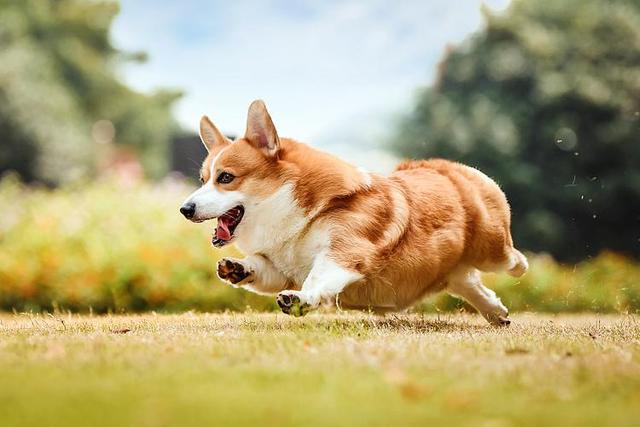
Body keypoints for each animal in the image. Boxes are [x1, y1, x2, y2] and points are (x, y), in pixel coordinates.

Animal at [178, 100, 528, 326]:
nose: (184, 209)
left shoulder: (345, 252)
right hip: (451, 269)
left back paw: (519, 271)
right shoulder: (282, 268)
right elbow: (261, 267)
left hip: (492, 249)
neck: (295, 215)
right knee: (467, 281)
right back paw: (496, 312)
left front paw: (300, 300)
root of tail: (449, 165)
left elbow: (318, 278)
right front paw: (236, 267)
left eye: (226, 177)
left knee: (510, 259)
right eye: (203, 179)